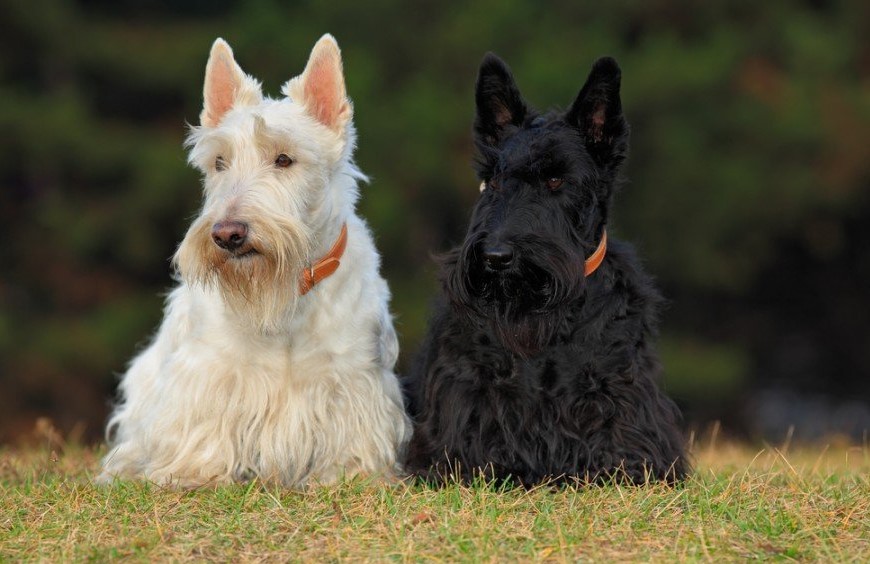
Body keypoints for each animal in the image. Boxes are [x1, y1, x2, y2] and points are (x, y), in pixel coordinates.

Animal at [100, 33, 414, 486]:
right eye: (219, 162)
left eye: (284, 159)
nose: (227, 234)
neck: (286, 295)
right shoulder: (208, 370)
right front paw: (194, 472)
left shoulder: (353, 376)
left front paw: (351, 472)